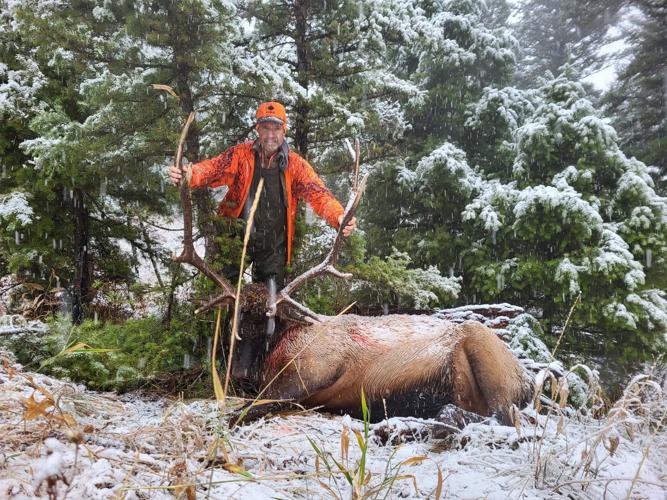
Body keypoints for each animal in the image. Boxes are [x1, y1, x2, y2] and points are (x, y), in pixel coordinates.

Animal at [172, 113, 533, 428]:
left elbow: (247, 410)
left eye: (270, 322)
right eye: (233, 318)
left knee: (507, 418)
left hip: (488, 355)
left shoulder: (313, 369)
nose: (240, 374)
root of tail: (528, 382)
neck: (277, 353)